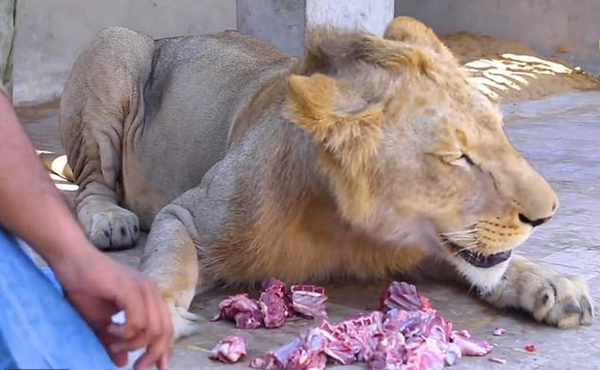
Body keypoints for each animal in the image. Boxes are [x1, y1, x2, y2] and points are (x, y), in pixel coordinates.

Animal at [58, 16, 592, 338]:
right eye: (456, 157)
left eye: (501, 132)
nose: (547, 215)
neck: (342, 225)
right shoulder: (186, 215)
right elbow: (172, 265)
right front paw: (155, 314)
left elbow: (491, 264)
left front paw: (549, 282)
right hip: (115, 45)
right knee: (90, 186)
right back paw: (110, 219)